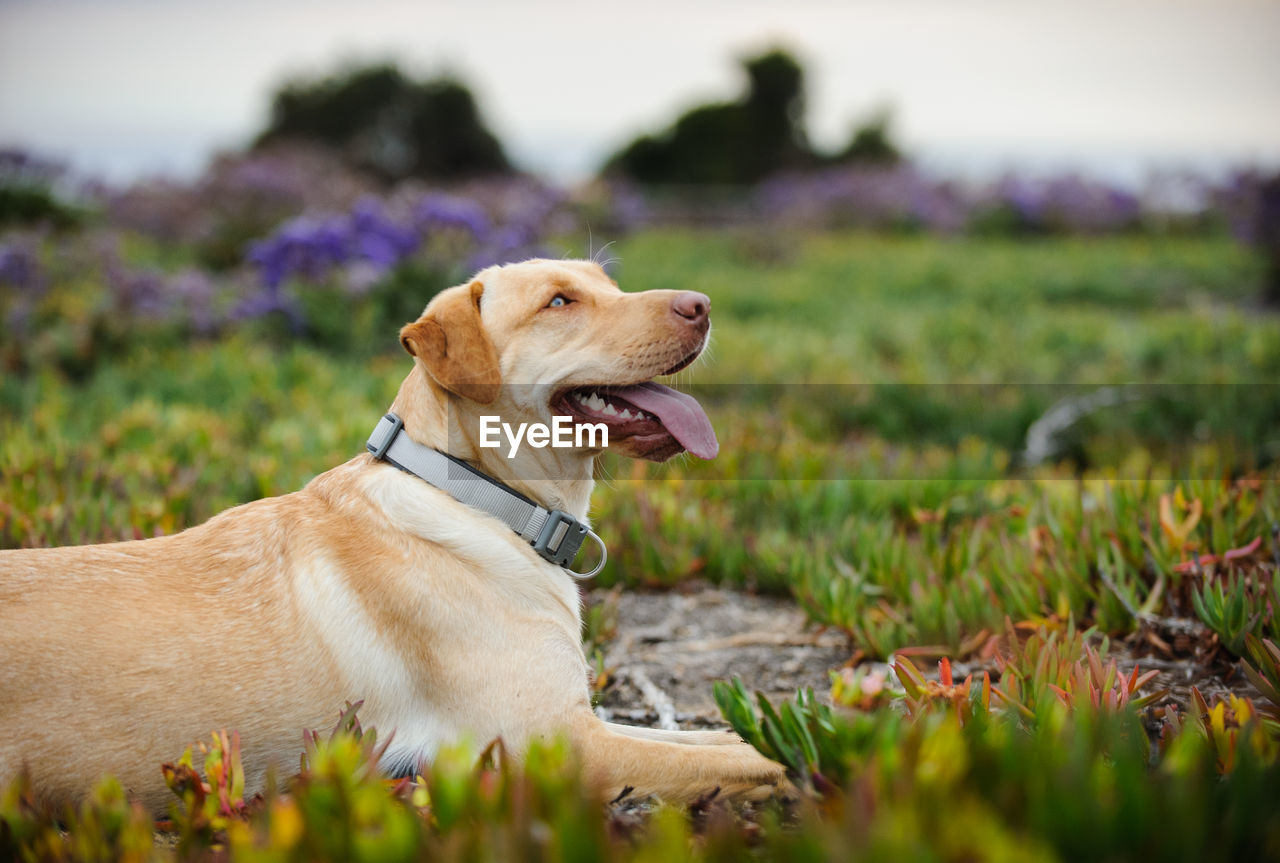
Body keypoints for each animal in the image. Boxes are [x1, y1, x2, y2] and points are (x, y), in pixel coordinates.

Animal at [0, 258, 788, 809]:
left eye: (609, 283)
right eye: (560, 301)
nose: (702, 306)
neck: (476, 496)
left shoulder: (582, 719)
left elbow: (720, 738)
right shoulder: (553, 745)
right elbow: (741, 759)